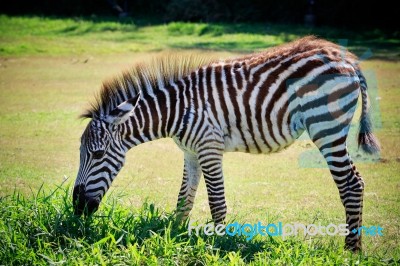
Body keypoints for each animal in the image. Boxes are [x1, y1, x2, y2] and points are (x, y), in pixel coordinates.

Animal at [73, 36, 380, 250]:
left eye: (97, 154)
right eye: (81, 154)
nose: (77, 207)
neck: (178, 110)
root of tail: (347, 59)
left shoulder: (209, 148)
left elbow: (216, 203)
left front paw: (219, 244)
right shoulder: (190, 152)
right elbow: (184, 199)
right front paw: (173, 236)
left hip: (326, 127)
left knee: (352, 184)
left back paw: (351, 250)